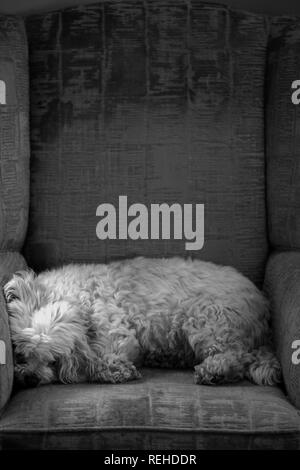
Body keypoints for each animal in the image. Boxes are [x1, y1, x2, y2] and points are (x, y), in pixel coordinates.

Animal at [3, 258, 282, 388]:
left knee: (237, 356)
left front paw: (116, 370)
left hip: (207, 319)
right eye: (20, 354)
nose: (30, 378)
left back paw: (214, 371)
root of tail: (262, 303)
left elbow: (100, 362)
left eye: (53, 361)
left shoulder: (120, 337)